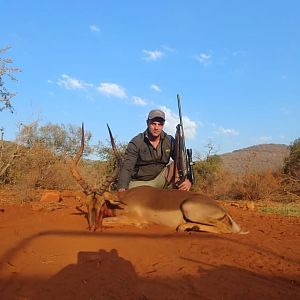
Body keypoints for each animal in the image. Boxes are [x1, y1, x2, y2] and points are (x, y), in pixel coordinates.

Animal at [71, 125, 247, 234]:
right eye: (87, 204)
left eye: (102, 204)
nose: (93, 228)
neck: (122, 201)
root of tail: (221, 208)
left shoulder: (130, 218)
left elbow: (109, 221)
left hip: (189, 208)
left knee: (225, 229)